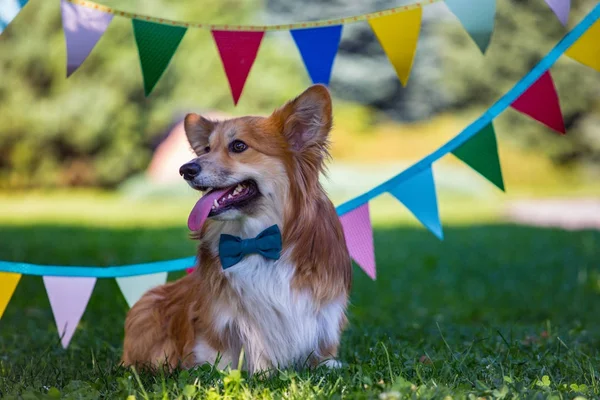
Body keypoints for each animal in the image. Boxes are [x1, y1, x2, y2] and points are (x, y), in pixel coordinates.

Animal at [124, 85, 354, 376]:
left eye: (238, 146)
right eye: (206, 148)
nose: (185, 169)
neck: (254, 239)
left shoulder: (323, 315)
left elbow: (321, 353)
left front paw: (328, 363)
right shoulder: (220, 322)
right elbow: (219, 353)